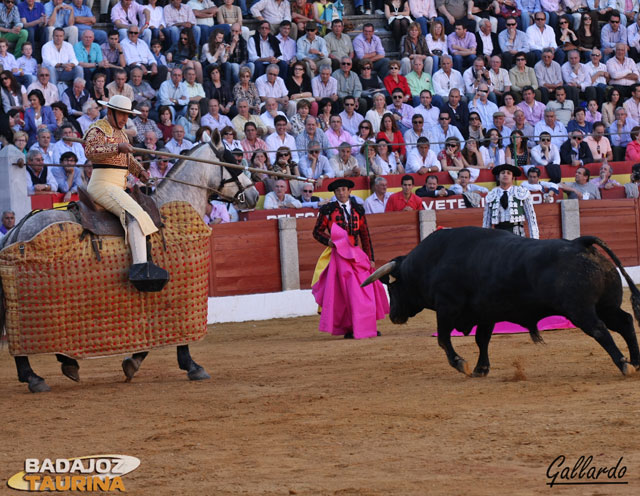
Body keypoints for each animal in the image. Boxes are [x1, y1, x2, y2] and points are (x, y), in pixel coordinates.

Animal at [0, 140, 260, 392]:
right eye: (231, 161)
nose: (255, 194)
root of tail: (17, 229)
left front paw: (132, 363)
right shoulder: (177, 290)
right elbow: (179, 335)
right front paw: (190, 366)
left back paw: (62, 366)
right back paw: (35, 377)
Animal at [362, 228, 640, 376]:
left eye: (393, 286)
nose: (393, 316)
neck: (431, 262)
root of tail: (580, 243)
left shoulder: (447, 308)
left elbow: (443, 339)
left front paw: (461, 364)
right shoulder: (486, 313)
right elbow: (482, 339)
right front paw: (480, 369)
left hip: (580, 311)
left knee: (600, 330)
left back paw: (624, 365)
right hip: (606, 306)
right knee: (625, 322)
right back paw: (636, 362)